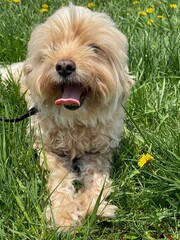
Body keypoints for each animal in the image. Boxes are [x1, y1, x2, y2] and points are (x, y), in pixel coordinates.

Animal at [0, 3, 133, 232]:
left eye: (94, 48)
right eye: (52, 47)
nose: (64, 66)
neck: (76, 121)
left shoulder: (100, 152)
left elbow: (97, 180)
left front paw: (93, 206)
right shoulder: (48, 150)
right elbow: (60, 181)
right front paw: (63, 215)